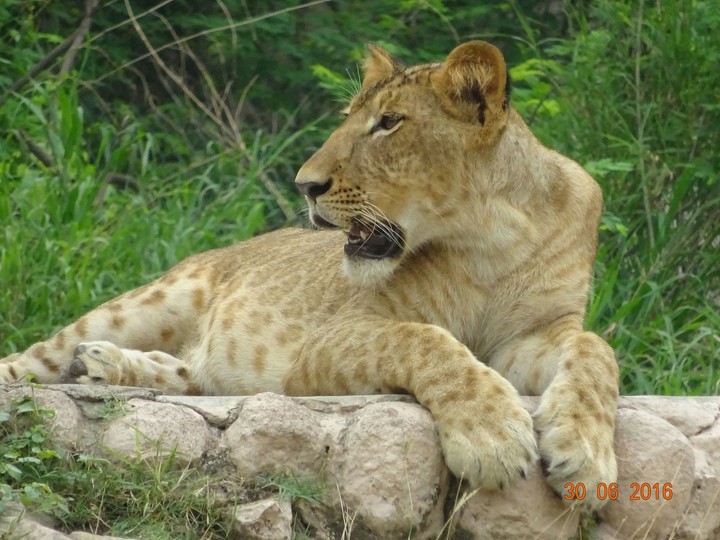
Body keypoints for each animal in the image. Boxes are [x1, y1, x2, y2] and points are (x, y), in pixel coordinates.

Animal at [0, 41, 618, 509]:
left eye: (389, 123)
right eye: (351, 119)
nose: (305, 185)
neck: (492, 240)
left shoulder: (534, 334)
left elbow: (596, 350)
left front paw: (587, 455)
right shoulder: (334, 337)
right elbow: (426, 340)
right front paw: (491, 434)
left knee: (193, 375)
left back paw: (103, 364)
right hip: (147, 301)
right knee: (31, 361)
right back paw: (86, 360)